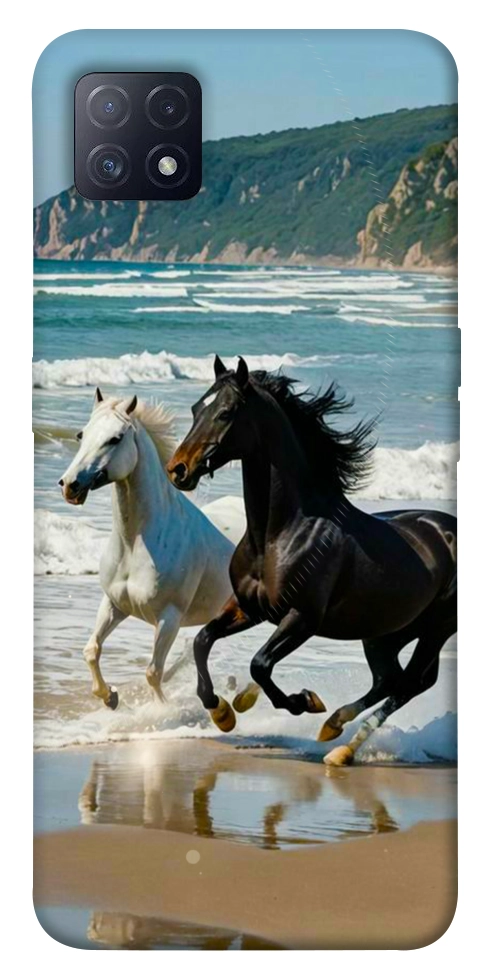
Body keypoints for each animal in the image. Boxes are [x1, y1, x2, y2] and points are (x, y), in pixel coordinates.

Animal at [59, 387, 234, 709]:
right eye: (81, 434)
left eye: (115, 438)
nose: (69, 485)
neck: (135, 544)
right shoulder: (114, 604)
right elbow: (91, 650)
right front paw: (110, 697)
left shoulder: (169, 618)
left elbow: (153, 672)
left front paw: (161, 711)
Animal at [166, 356, 457, 765]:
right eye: (195, 409)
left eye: (225, 413)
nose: (178, 469)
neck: (280, 534)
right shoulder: (248, 608)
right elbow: (202, 641)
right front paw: (222, 711)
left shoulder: (302, 618)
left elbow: (260, 664)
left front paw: (303, 701)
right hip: (385, 632)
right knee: (390, 679)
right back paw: (334, 728)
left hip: (435, 629)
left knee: (411, 683)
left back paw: (341, 746)